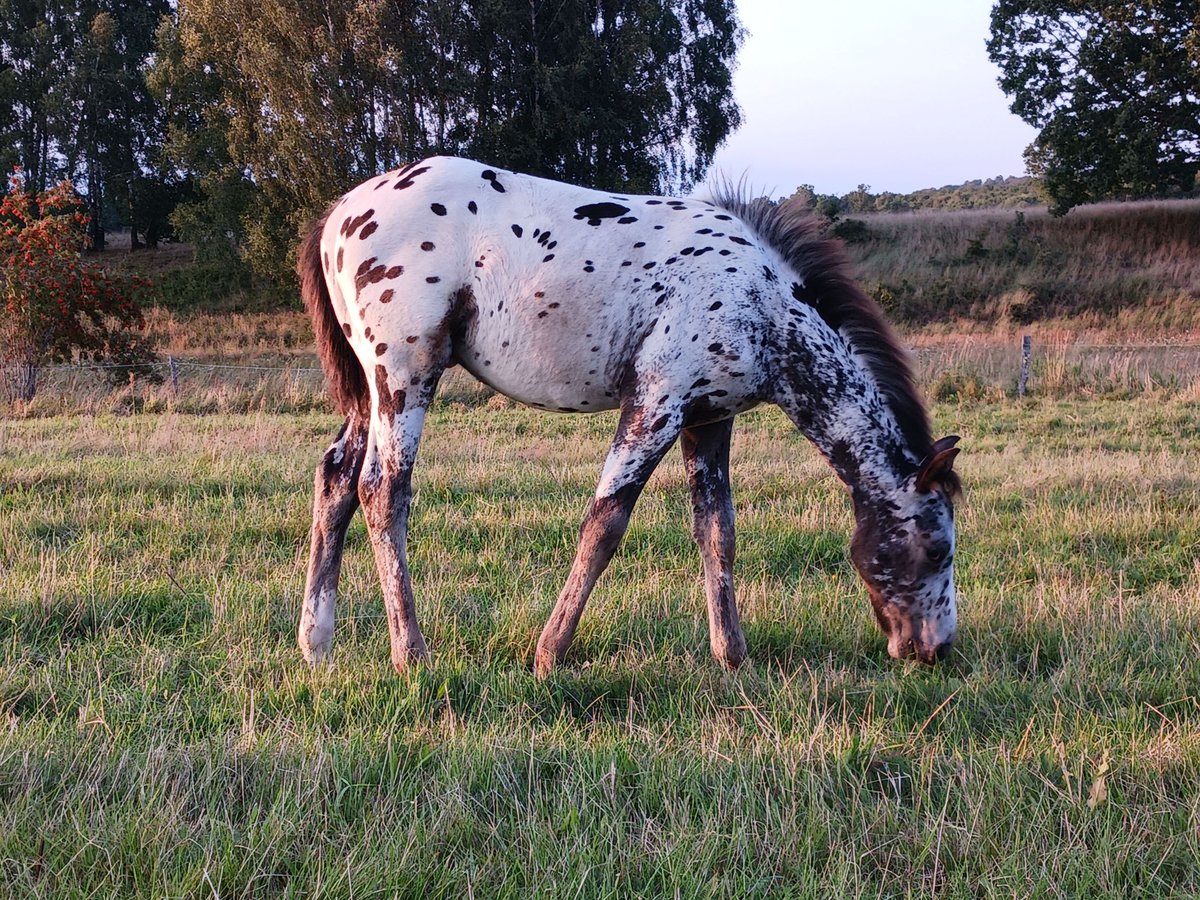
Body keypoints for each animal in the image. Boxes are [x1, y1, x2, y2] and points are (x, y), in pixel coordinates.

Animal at [295, 157, 960, 676]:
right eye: (936, 551)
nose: (935, 650)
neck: (761, 300)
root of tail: (339, 214)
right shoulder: (656, 403)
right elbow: (605, 524)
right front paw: (549, 654)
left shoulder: (708, 420)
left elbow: (717, 531)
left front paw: (733, 657)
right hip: (405, 377)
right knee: (383, 491)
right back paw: (411, 654)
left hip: (370, 392)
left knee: (335, 479)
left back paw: (316, 644)